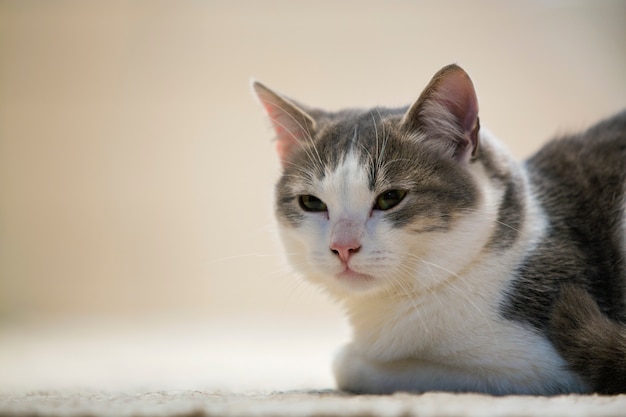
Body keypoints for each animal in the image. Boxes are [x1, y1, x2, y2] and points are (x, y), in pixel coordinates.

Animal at [250, 64, 624, 394]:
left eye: (390, 198)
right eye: (312, 203)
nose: (343, 247)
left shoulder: (534, 363)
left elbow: (355, 365)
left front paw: (353, 357)